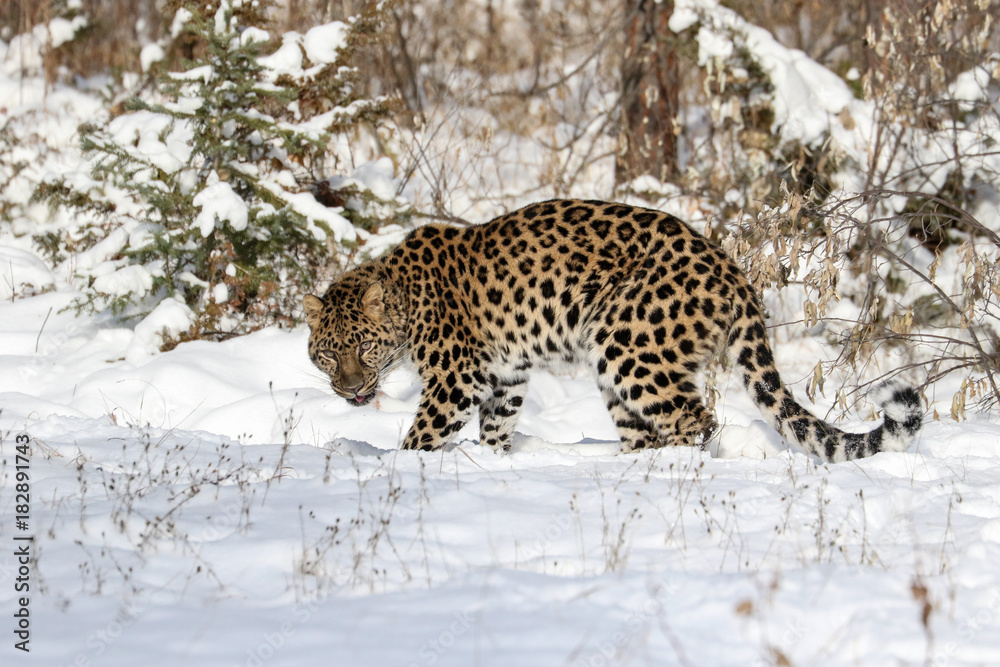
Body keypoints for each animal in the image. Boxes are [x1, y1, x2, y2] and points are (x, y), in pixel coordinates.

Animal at [304, 199, 922, 462]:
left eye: (364, 346)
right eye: (329, 356)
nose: (348, 389)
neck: (406, 298)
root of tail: (732, 270)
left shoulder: (454, 377)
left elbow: (422, 434)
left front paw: (399, 471)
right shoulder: (506, 376)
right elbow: (496, 429)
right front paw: (495, 466)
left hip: (627, 343)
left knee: (694, 420)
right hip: (619, 364)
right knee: (647, 426)